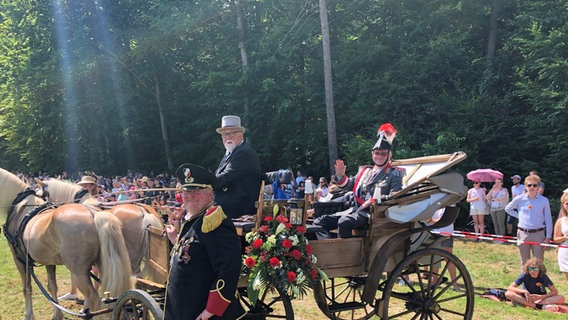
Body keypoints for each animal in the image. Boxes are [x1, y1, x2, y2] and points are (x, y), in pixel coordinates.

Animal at [0, 169, 133, 318]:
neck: (22, 209)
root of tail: (94, 214)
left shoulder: (19, 259)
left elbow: (26, 287)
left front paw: (28, 315)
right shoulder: (48, 261)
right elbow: (52, 286)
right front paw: (57, 315)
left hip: (78, 271)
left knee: (94, 298)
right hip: (104, 264)